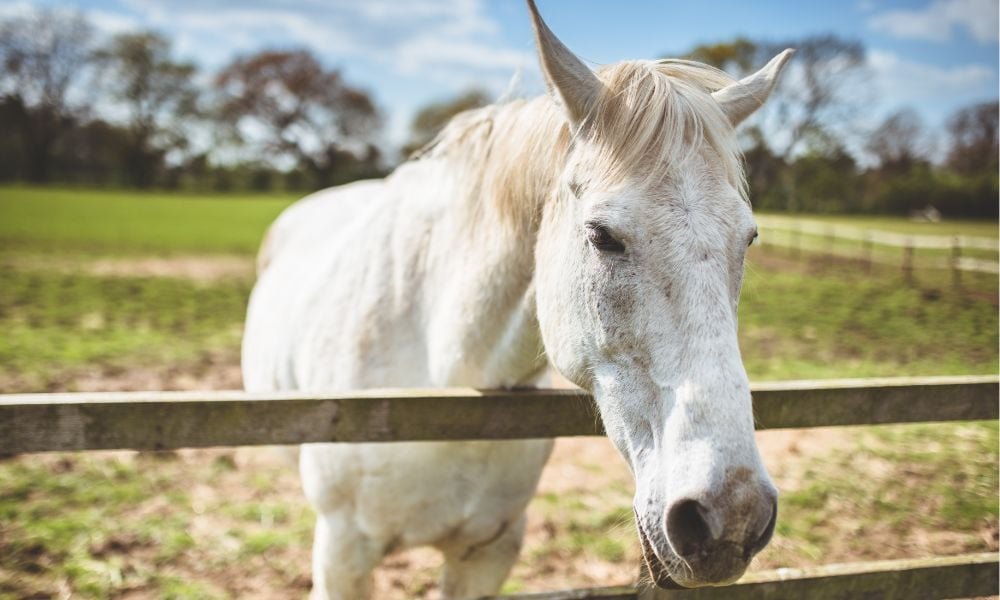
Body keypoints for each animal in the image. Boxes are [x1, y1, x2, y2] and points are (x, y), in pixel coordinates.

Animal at [242, 1, 792, 597]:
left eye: (748, 238)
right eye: (602, 235)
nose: (731, 518)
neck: (444, 387)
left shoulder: (489, 553)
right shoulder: (344, 554)